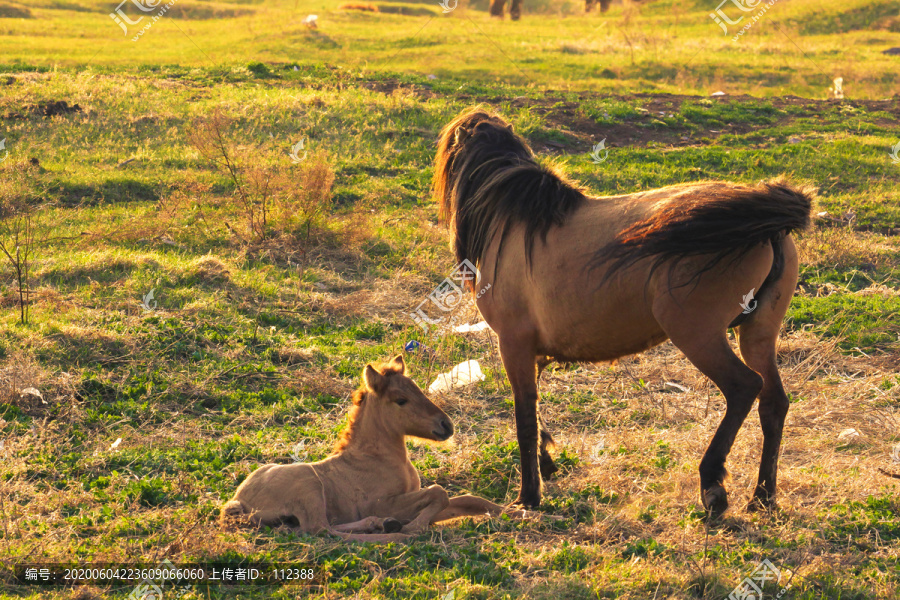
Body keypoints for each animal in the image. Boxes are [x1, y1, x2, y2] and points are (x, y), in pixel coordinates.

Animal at [222, 354, 536, 540]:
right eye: (400, 400)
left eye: (418, 389)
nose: (446, 425)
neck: (377, 459)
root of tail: (239, 500)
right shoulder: (382, 502)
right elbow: (439, 492)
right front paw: (413, 527)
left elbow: (468, 500)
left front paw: (523, 513)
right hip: (309, 485)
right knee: (320, 529)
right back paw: (388, 530)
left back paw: (383, 525)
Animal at [434, 108, 816, 516]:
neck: (516, 223)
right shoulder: (535, 353)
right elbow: (534, 415)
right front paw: (546, 464)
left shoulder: (514, 344)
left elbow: (523, 417)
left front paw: (529, 497)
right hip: (757, 333)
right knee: (773, 402)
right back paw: (762, 495)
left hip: (699, 336)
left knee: (744, 388)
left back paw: (713, 483)